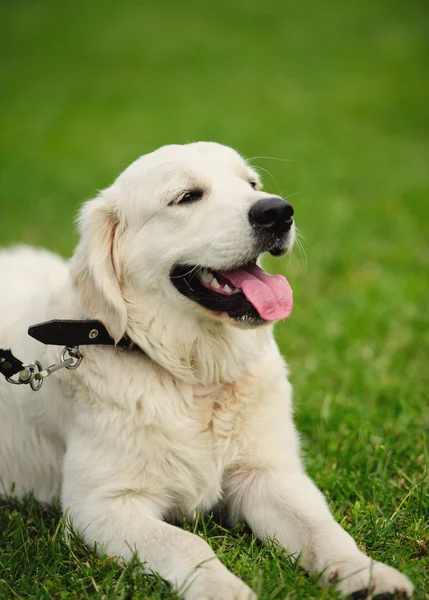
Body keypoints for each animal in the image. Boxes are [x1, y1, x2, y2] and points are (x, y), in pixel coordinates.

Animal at [0, 143, 414, 596]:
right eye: (187, 196)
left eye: (252, 184)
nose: (277, 211)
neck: (196, 377)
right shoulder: (102, 503)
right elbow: (187, 544)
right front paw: (224, 589)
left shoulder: (268, 473)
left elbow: (321, 529)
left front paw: (366, 574)